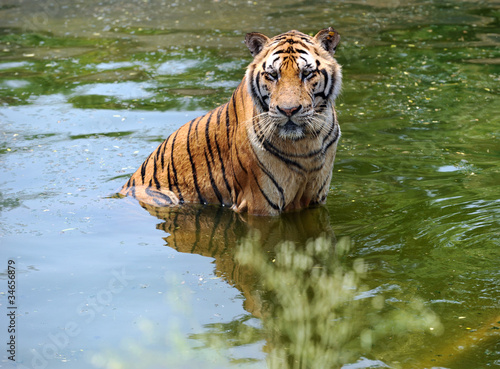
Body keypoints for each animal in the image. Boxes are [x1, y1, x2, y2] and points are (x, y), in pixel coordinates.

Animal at [119, 28, 342, 216]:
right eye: (272, 75)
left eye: (307, 73)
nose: (288, 110)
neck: (304, 144)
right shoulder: (258, 202)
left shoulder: (316, 198)